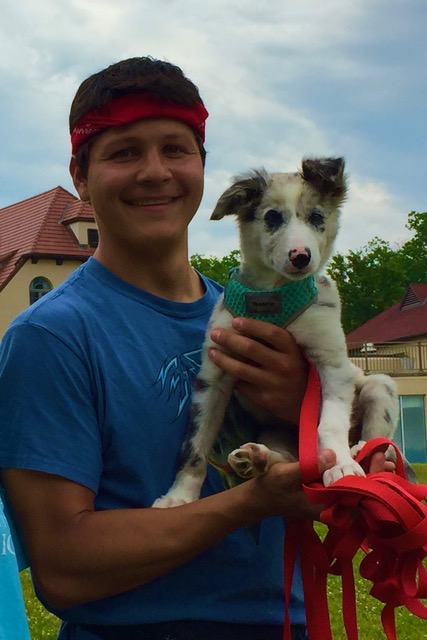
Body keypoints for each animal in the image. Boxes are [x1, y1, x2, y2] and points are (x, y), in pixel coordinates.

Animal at [154, 157, 399, 508]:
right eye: (272, 217)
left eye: (316, 217)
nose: (300, 257)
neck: (275, 298)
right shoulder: (213, 376)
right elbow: (195, 444)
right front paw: (180, 496)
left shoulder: (331, 363)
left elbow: (330, 423)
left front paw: (339, 464)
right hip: (275, 431)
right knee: (289, 458)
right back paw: (259, 458)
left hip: (379, 386)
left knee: (377, 431)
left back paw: (359, 450)